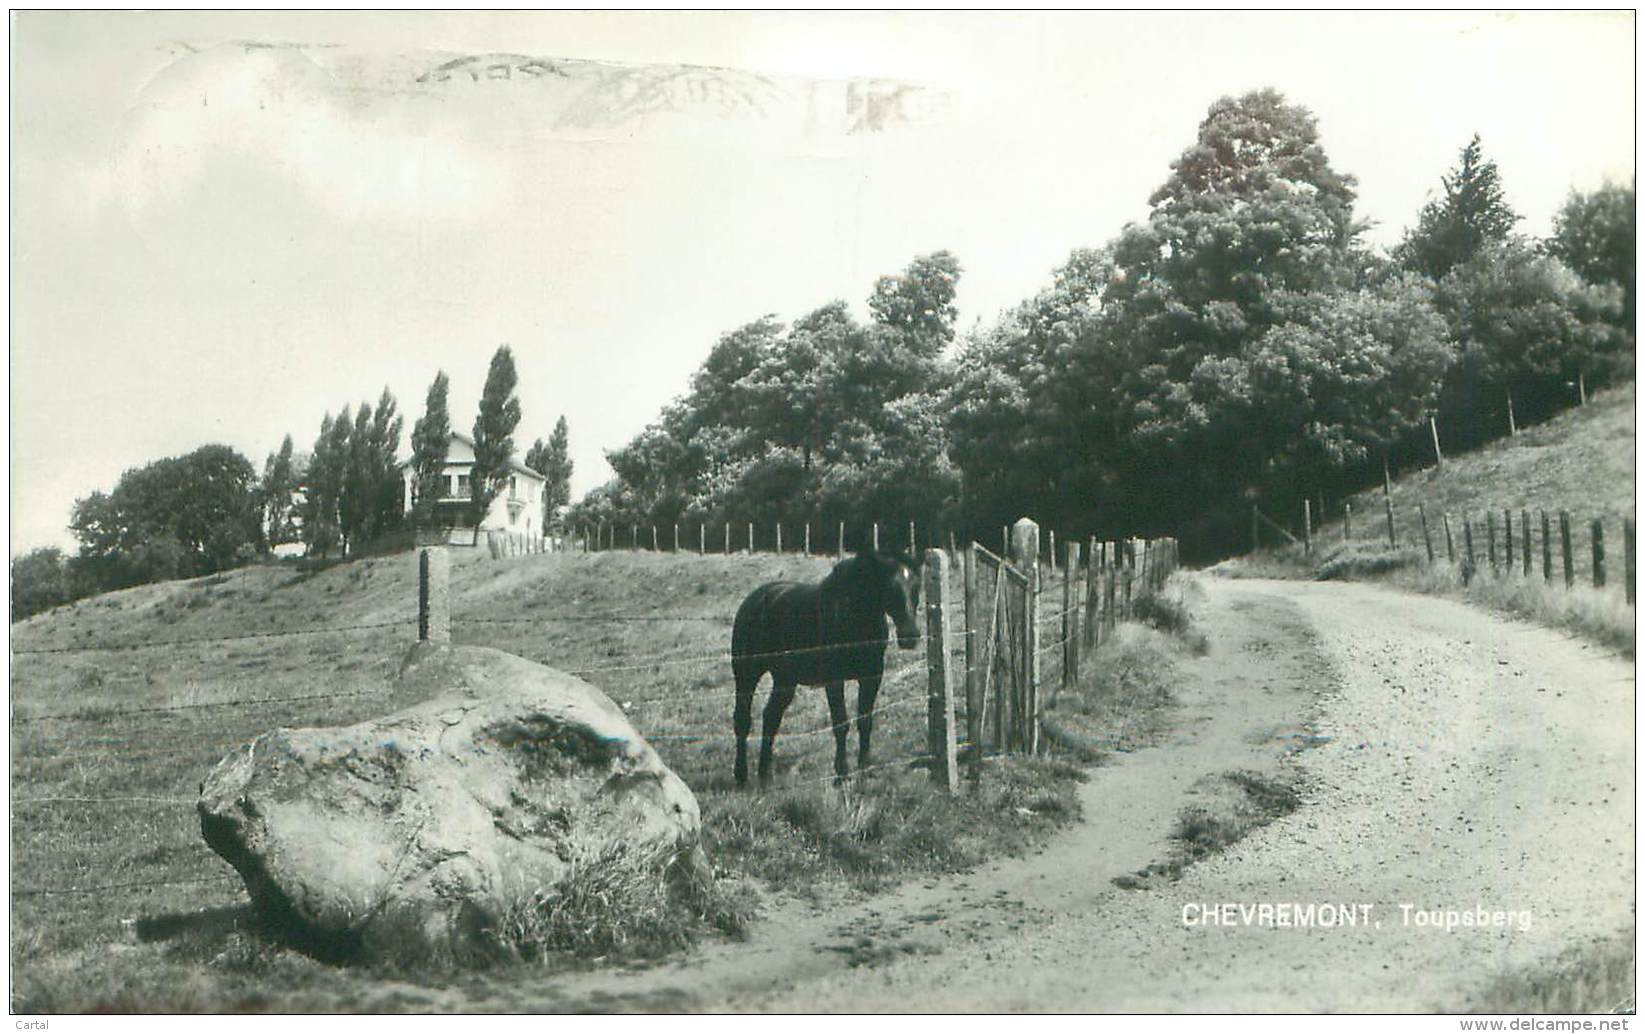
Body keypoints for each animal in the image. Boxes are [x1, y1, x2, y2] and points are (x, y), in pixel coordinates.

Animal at [736, 549, 927, 782]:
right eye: (889, 587)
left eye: (916, 586)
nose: (910, 635)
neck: (853, 618)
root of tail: (754, 600)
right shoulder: (834, 680)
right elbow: (841, 722)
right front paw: (842, 772)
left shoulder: (871, 677)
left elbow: (865, 721)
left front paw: (865, 767)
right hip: (747, 674)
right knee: (742, 720)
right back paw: (741, 775)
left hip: (785, 680)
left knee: (771, 716)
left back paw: (765, 775)